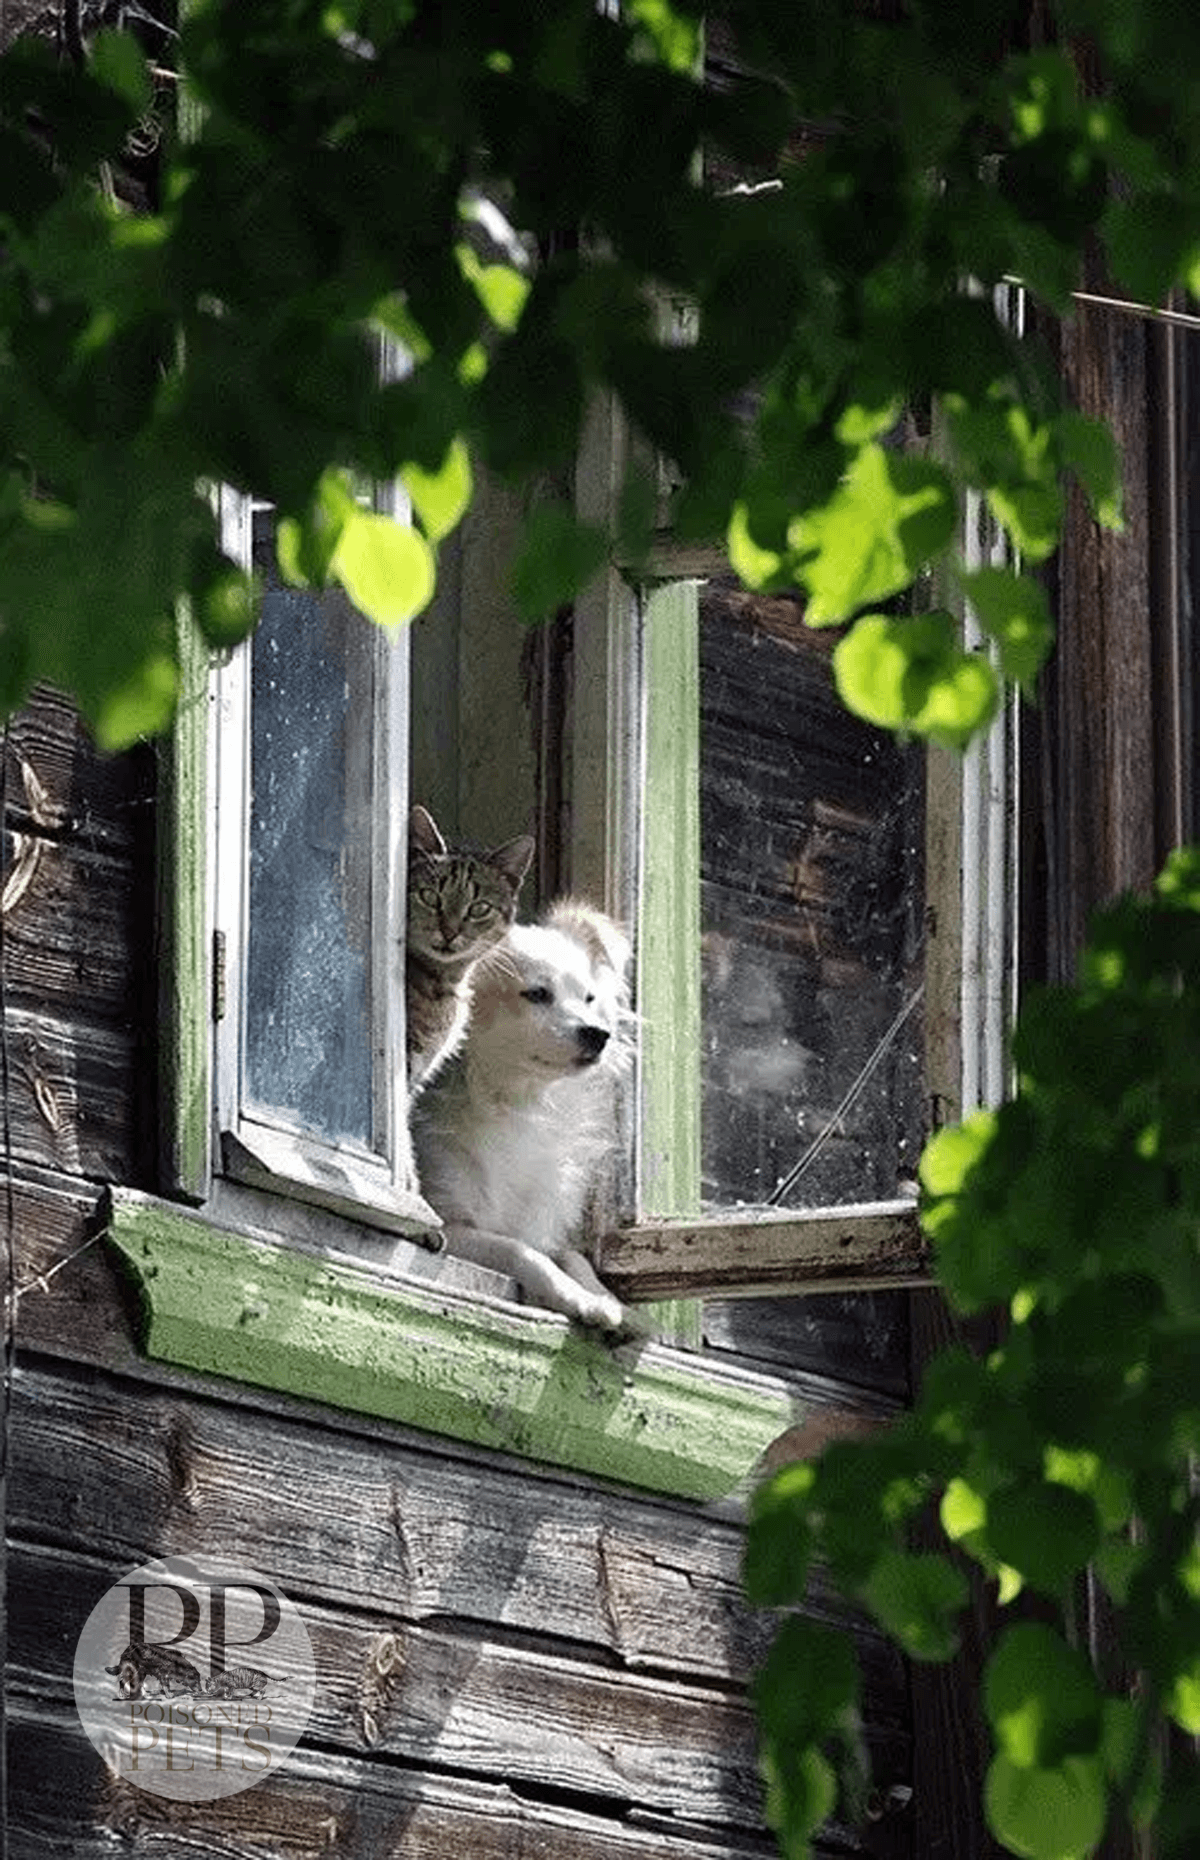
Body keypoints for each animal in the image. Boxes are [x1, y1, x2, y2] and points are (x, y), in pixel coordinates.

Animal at [411, 896, 632, 1324]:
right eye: (537, 995)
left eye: (589, 999)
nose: (598, 1034)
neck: (516, 1098)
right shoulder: (451, 1229)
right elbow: (520, 1250)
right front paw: (578, 1298)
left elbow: (571, 1255)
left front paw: (611, 1302)